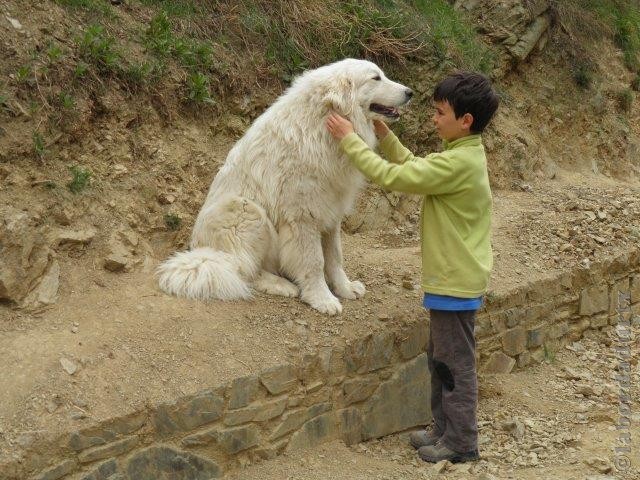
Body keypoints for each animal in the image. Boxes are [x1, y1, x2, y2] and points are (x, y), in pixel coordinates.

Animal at [158, 59, 412, 316]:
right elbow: (314, 261)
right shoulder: (303, 217)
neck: (321, 125)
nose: (410, 92)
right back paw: (281, 285)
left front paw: (345, 288)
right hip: (246, 210)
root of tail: (199, 252)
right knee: (243, 271)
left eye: (382, 75)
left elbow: (335, 257)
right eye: (375, 78)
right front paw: (322, 299)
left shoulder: (331, 213)